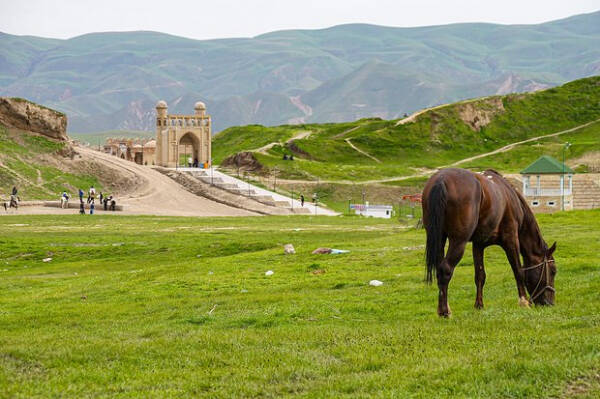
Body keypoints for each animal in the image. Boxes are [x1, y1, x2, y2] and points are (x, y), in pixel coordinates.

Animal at [422, 170, 556, 318]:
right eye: (553, 271)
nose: (550, 303)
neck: (510, 198)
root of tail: (441, 179)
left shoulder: (478, 244)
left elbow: (480, 275)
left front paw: (479, 305)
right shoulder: (511, 239)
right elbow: (518, 271)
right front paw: (524, 302)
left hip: (440, 238)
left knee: (440, 269)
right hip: (458, 241)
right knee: (445, 269)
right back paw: (445, 311)